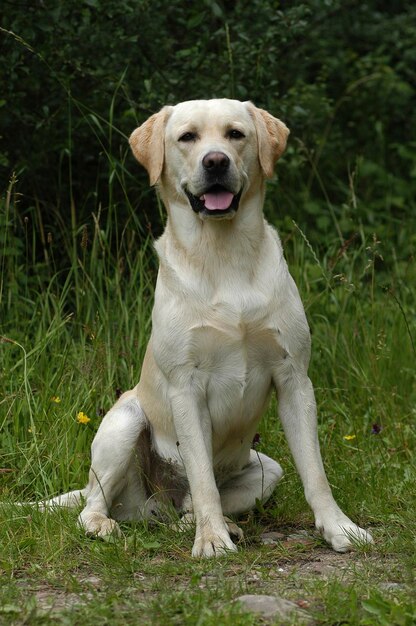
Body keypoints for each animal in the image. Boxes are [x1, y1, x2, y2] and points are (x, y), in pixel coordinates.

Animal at [43, 98, 374, 556]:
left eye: (235, 134)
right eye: (188, 137)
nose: (216, 161)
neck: (224, 253)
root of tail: (155, 505)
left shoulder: (294, 378)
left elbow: (315, 472)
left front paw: (339, 527)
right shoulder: (187, 388)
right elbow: (202, 479)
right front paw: (213, 541)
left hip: (266, 470)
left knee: (185, 509)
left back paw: (204, 524)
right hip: (125, 422)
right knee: (97, 504)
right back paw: (109, 525)